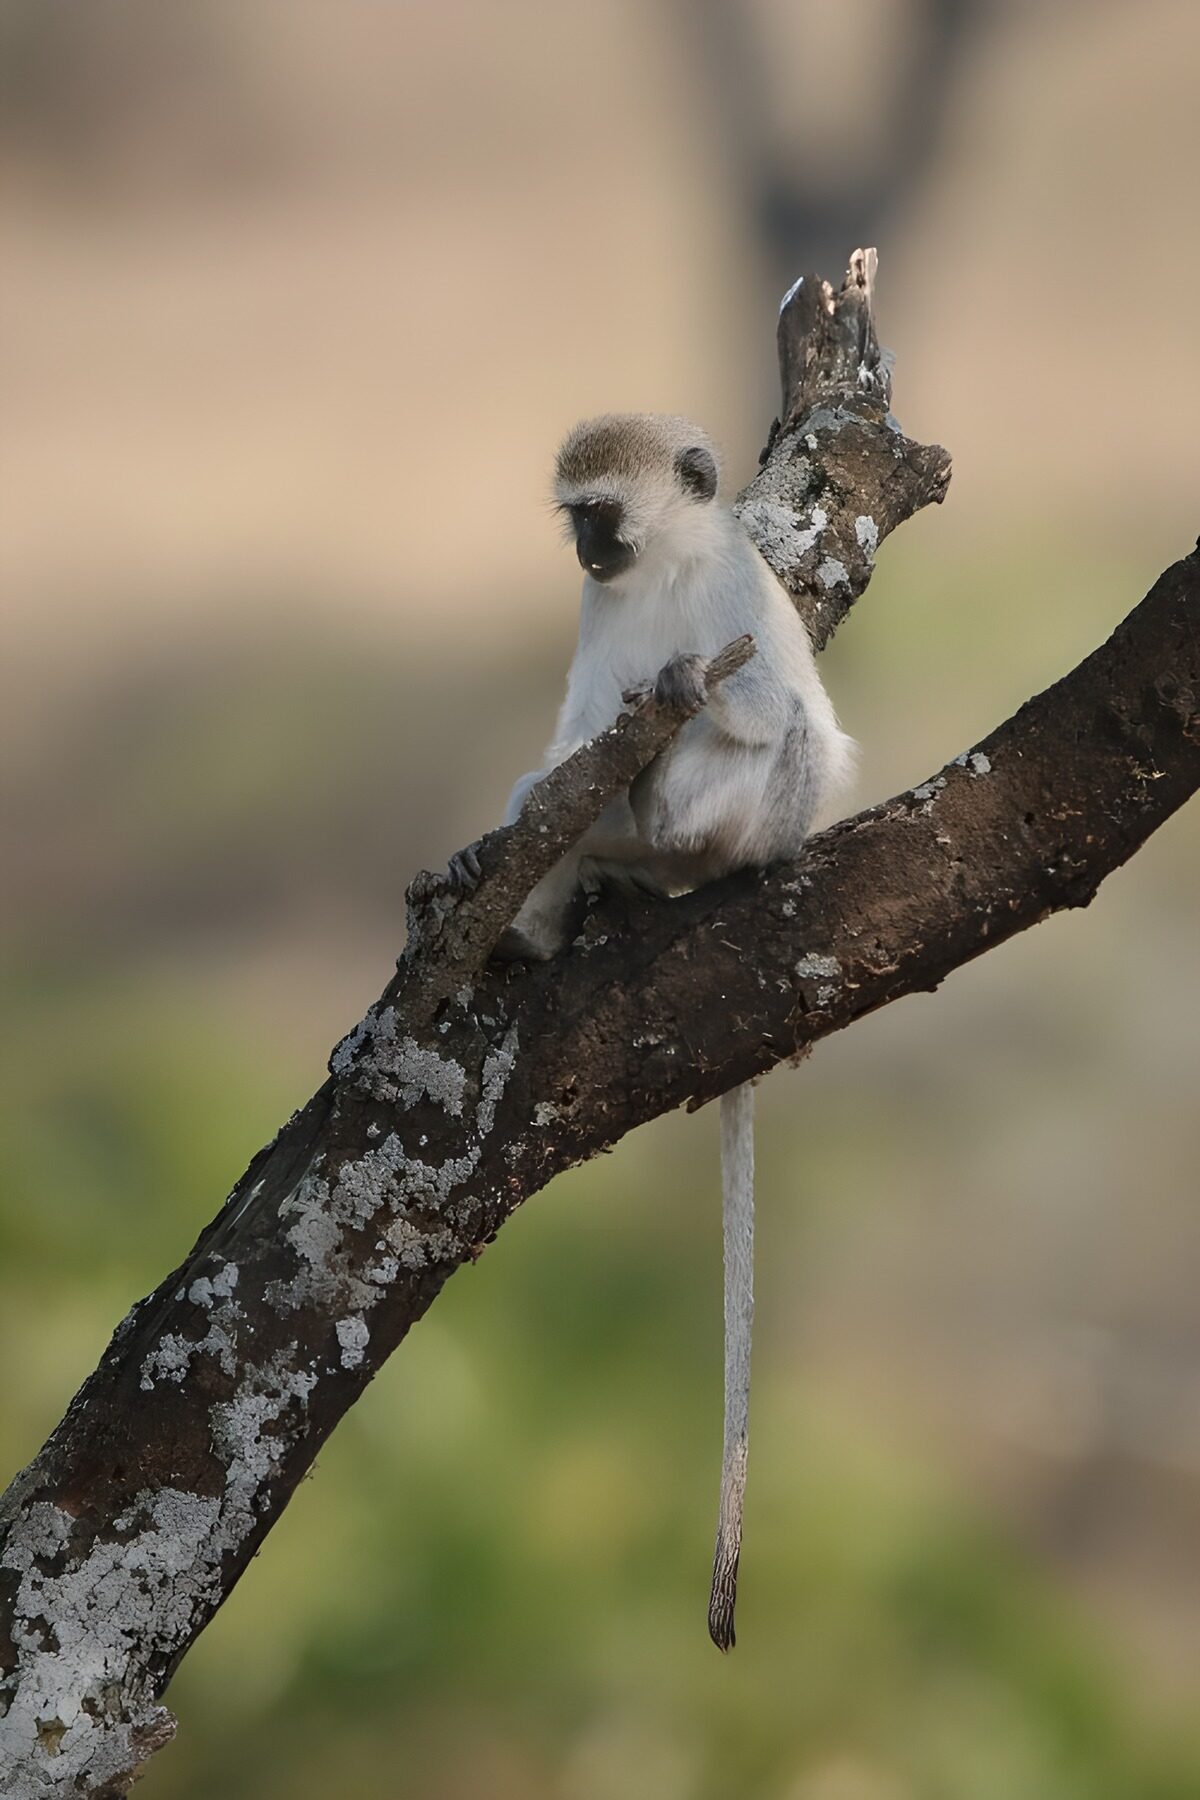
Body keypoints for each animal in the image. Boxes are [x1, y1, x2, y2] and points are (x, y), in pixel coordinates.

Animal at [489, 413, 855, 1648]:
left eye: (602, 512)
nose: (586, 551)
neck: (662, 572)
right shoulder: (600, 616)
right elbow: (567, 735)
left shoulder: (736, 595)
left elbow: (776, 705)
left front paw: (688, 685)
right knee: (561, 791)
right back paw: (558, 902)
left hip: (760, 826)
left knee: (769, 743)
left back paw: (676, 831)